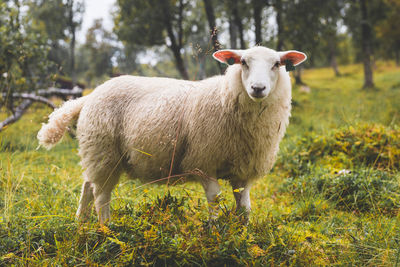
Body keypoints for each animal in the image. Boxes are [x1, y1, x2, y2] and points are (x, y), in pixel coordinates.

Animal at [37, 46, 306, 224]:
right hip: (105, 153)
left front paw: (243, 234)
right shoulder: (204, 163)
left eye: (276, 64)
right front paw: (216, 233)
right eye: (243, 62)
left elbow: (244, 208)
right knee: (101, 195)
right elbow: (215, 201)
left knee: (87, 185)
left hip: (96, 153)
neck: (225, 97)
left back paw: (81, 223)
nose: (258, 88)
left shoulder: (243, 171)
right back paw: (107, 230)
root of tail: (89, 96)